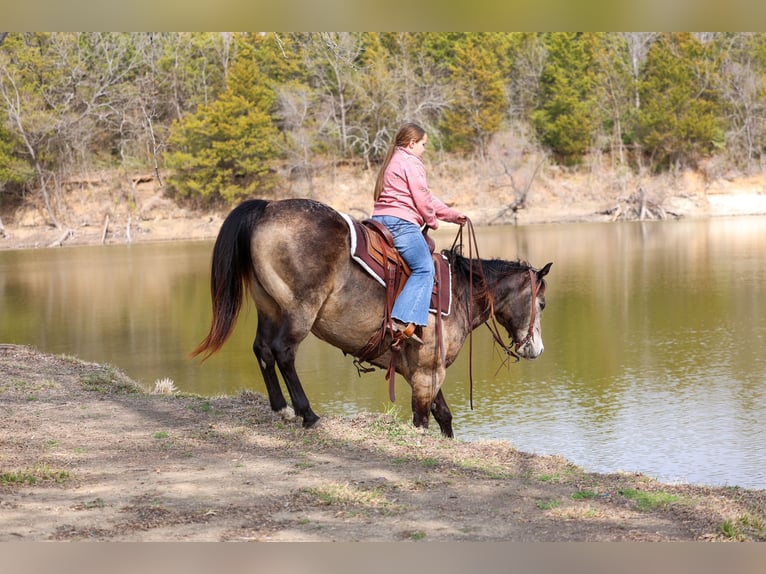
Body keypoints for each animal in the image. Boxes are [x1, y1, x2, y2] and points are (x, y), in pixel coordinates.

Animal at [191, 198, 552, 438]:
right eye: (543, 303)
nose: (536, 349)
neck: (460, 291)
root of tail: (267, 208)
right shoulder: (427, 372)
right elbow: (423, 420)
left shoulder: (423, 372)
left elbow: (443, 416)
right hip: (298, 312)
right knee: (282, 352)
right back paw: (307, 414)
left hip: (268, 308)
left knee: (262, 349)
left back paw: (281, 408)